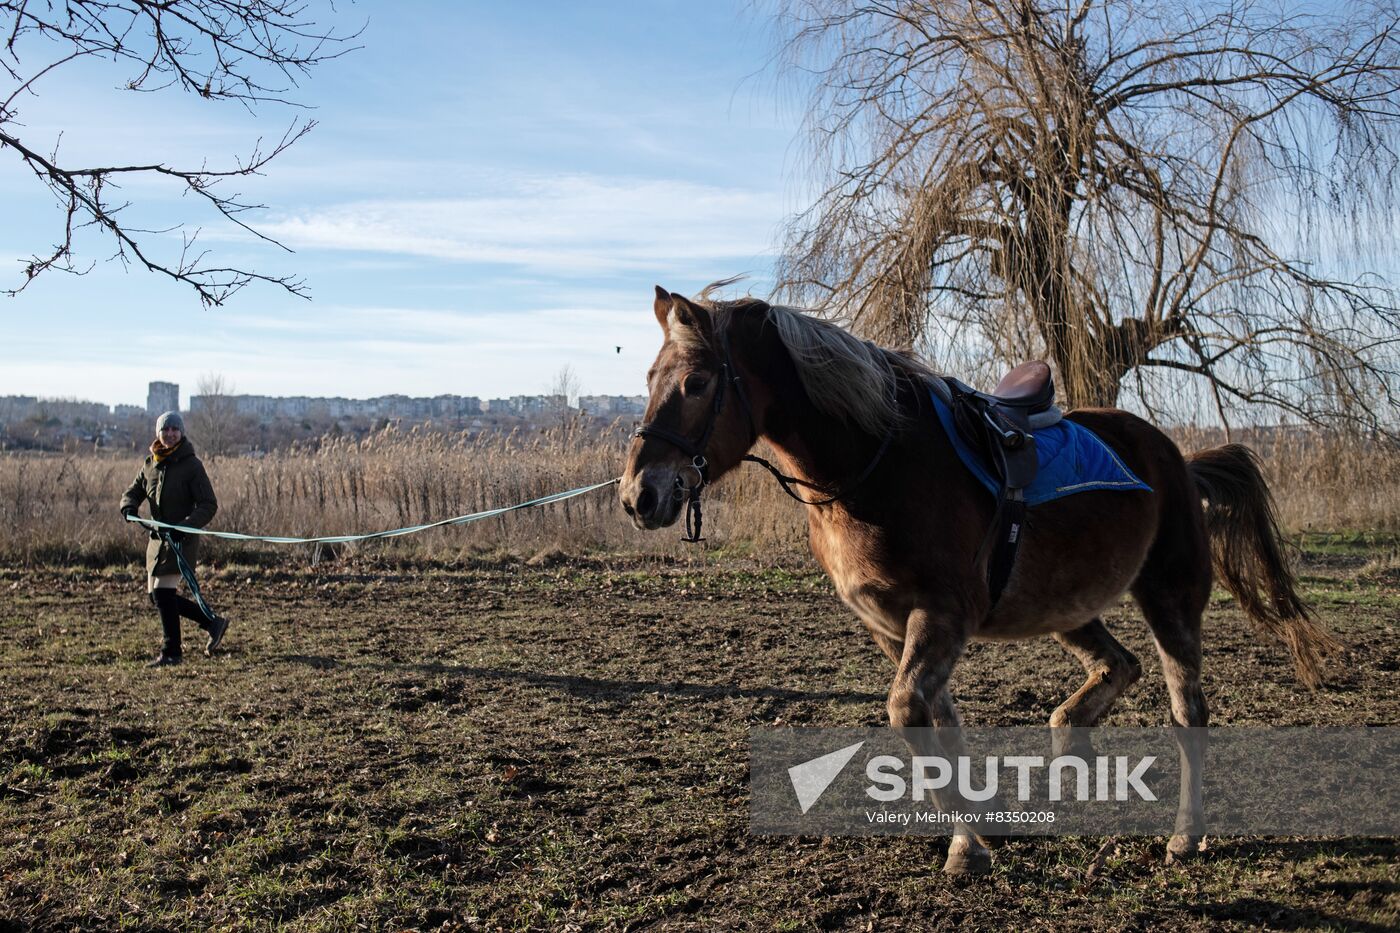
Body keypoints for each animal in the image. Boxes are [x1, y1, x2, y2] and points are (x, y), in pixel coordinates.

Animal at [621, 282, 1332, 874]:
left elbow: (910, 712)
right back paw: (1071, 744)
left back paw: (1186, 836)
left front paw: (968, 847)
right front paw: (978, 835)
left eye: (695, 383)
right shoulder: (892, 627)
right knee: (1117, 667)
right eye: (651, 378)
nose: (637, 495)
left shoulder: (942, 616)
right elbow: (944, 724)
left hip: (1170, 598)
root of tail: (1179, 458)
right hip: (1067, 608)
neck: (878, 461)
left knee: (1189, 712)